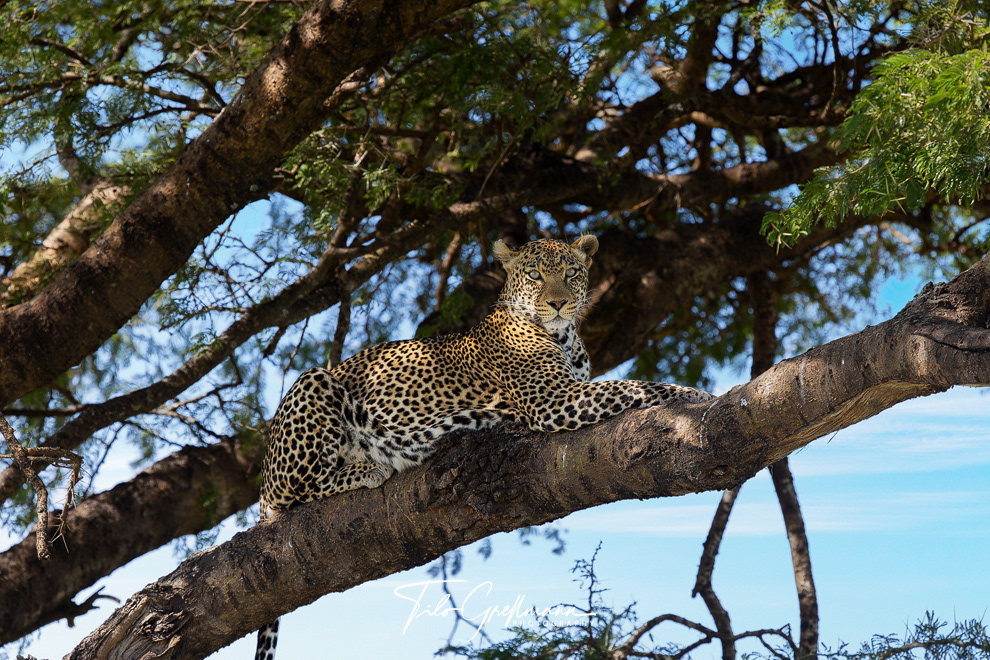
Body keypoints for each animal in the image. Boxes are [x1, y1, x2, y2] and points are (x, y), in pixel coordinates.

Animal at [254, 235, 712, 660]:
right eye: (536, 275)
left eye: (571, 274)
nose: (559, 303)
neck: (564, 335)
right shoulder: (555, 400)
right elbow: (636, 386)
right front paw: (695, 395)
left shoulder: (567, 393)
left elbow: (629, 385)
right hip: (313, 384)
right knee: (294, 494)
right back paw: (367, 468)